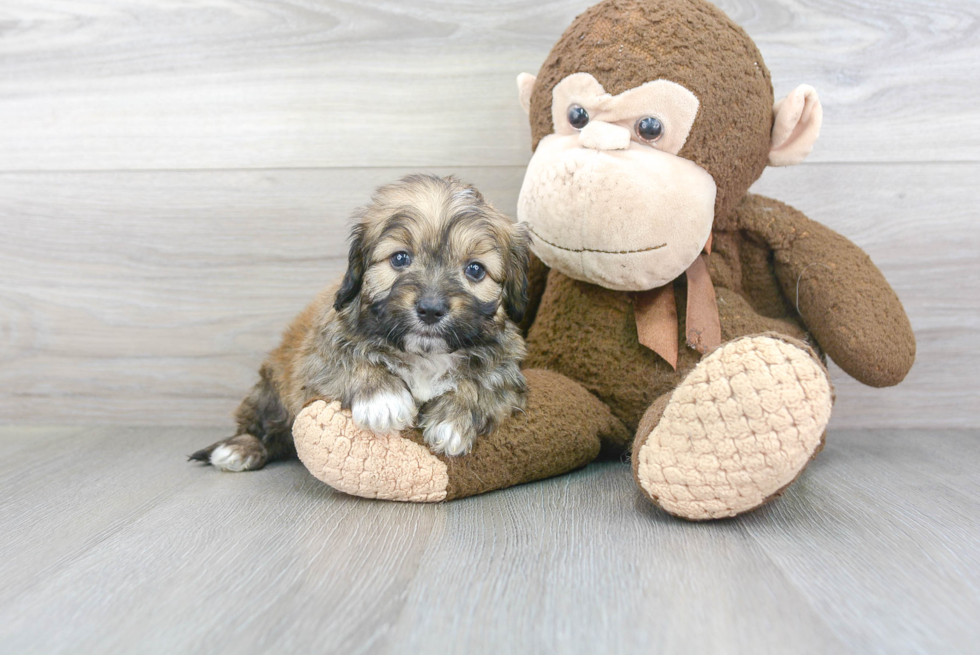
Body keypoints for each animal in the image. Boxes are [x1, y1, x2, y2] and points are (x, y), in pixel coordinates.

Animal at [190, 174, 528, 472]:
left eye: (475, 270)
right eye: (400, 259)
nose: (431, 310)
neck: (424, 355)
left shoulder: (508, 369)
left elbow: (482, 381)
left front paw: (453, 420)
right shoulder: (317, 357)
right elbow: (351, 358)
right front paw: (383, 399)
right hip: (270, 389)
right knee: (263, 427)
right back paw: (239, 448)